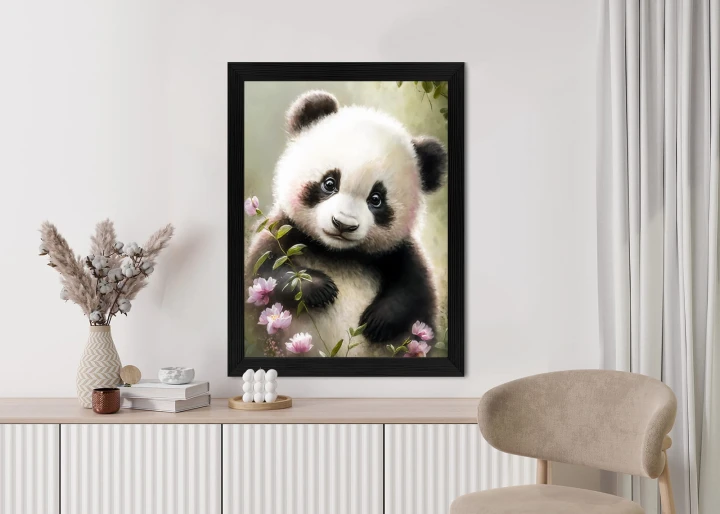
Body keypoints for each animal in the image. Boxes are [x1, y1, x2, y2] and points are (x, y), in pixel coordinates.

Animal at [245, 90, 447, 357]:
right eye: (329, 183)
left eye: (376, 199)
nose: (343, 224)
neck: (338, 254)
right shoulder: (284, 232)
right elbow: (264, 273)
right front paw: (320, 288)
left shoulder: (397, 252)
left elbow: (415, 291)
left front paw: (377, 320)